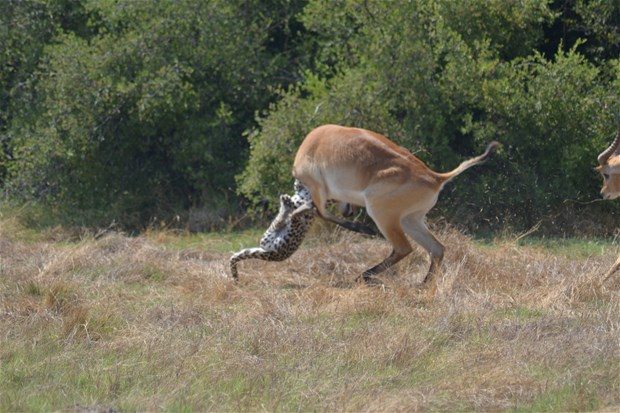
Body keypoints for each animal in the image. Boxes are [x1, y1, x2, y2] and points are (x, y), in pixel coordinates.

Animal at [290, 124, 498, 284]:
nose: (349, 212)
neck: (314, 143)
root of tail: (436, 178)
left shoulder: (317, 189)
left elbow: (320, 212)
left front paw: (364, 229)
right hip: (409, 220)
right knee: (437, 249)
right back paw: (422, 285)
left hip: (381, 214)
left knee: (404, 248)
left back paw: (363, 276)